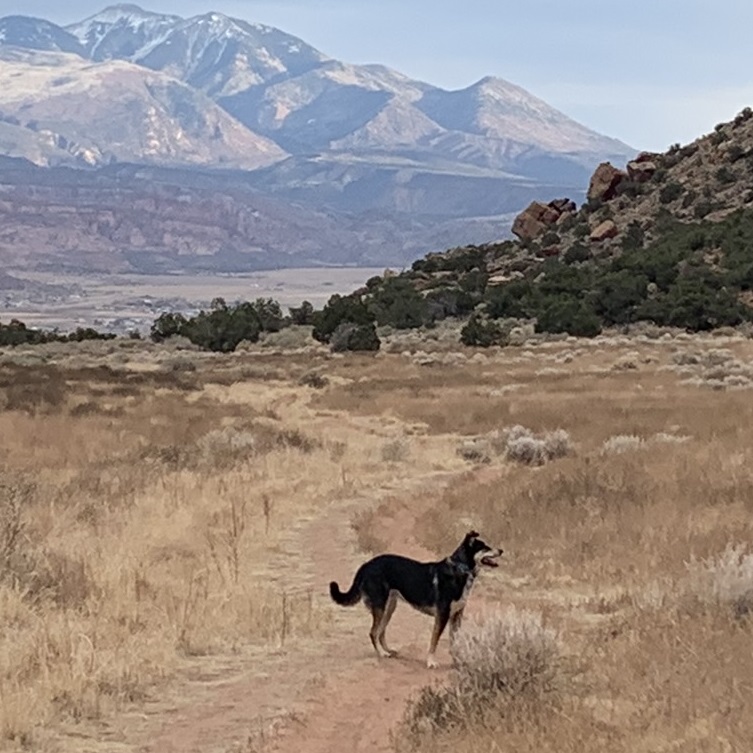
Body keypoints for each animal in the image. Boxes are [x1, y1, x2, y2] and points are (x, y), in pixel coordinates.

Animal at [328, 532, 500, 668]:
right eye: (485, 547)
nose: (501, 550)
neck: (459, 569)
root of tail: (365, 565)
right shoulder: (442, 615)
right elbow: (434, 641)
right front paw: (431, 662)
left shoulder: (456, 616)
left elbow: (454, 642)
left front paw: (458, 660)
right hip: (380, 606)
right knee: (373, 632)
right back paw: (382, 654)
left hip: (389, 607)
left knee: (381, 631)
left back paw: (388, 650)